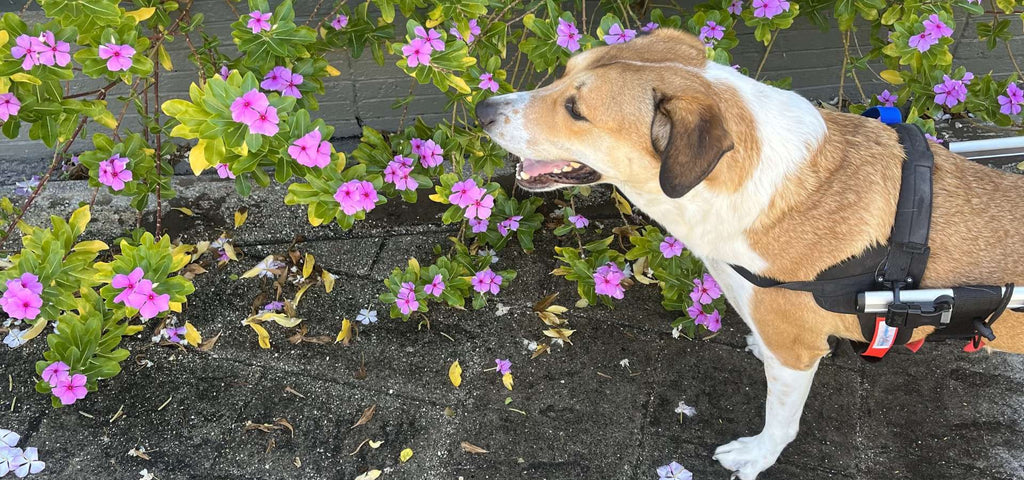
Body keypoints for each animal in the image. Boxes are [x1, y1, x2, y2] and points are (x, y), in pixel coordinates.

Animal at [475, 27, 1024, 478]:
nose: (482, 110)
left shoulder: (795, 353)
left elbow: (781, 420)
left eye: (576, 110)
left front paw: (756, 457)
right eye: (564, 72)